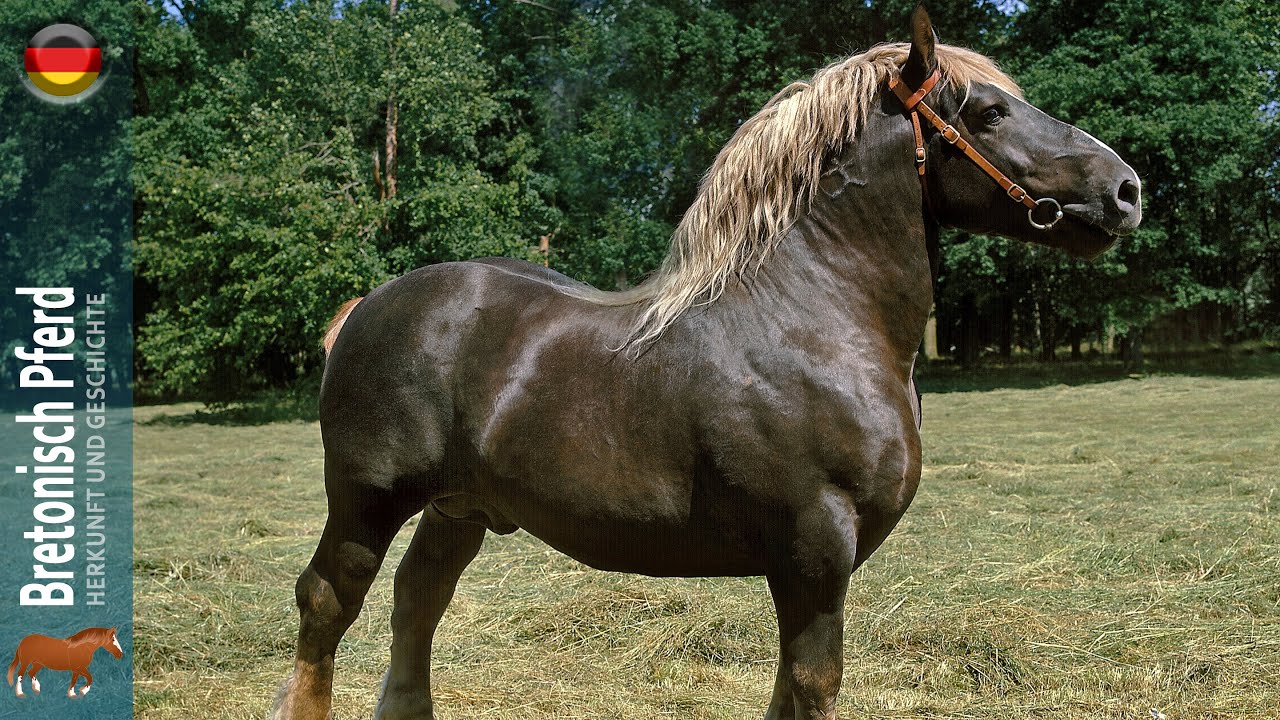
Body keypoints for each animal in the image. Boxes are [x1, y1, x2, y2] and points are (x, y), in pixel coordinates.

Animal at [270, 7, 1141, 719]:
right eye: (991, 112)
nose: (1127, 189)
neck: (813, 318)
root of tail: (371, 305)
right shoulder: (815, 551)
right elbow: (814, 685)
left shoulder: (808, 570)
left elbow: (789, 689)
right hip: (367, 501)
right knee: (328, 604)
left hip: (459, 509)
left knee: (418, 602)